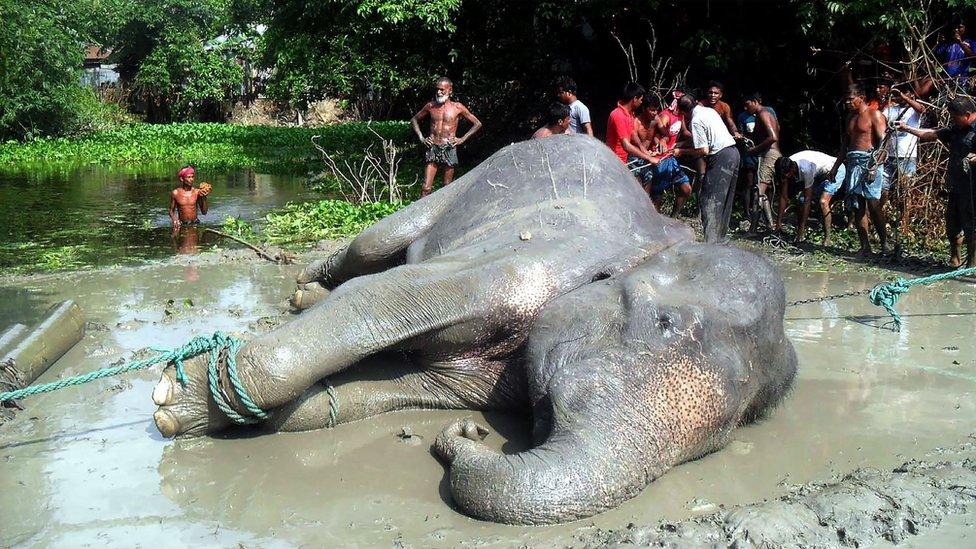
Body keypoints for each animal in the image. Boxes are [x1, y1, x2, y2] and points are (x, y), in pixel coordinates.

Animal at [149, 135, 796, 524]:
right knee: (372, 247)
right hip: (467, 178)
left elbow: (382, 387)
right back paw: (304, 289)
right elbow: (385, 295)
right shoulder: (522, 267)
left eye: (731, 430)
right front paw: (170, 400)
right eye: (664, 324)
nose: (464, 435)